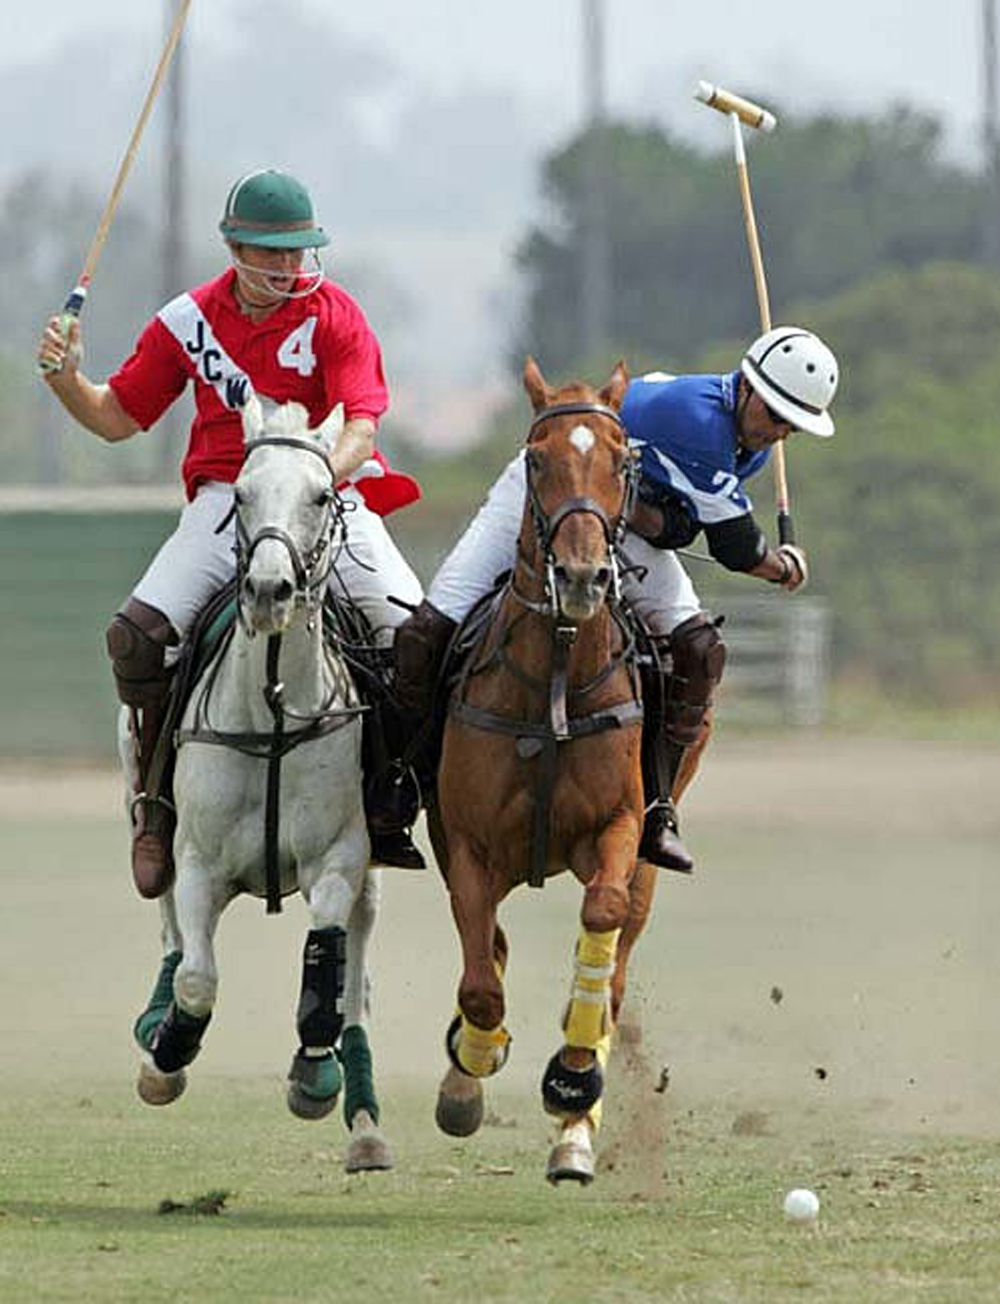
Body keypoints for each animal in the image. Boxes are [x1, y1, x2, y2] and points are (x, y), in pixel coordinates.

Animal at [128, 395, 392, 1173]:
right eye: (239, 495)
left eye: (321, 496)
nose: (270, 591)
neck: (272, 713)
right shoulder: (198, 862)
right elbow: (196, 974)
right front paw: (168, 1052)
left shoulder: (338, 860)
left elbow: (325, 972)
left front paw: (315, 1075)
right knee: (164, 912)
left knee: (357, 975)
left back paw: (365, 1120)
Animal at [430, 356, 660, 1184]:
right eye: (535, 460)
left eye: (623, 463)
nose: (583, 577)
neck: (556, 678)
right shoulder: (467, 847)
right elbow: (482, 984)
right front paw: (470, 1068)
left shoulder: (619, 829)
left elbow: (601, 918)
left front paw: (572, 1085)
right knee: (489, 954)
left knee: (614, 970)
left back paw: (576, 1123)